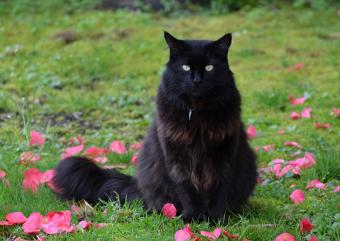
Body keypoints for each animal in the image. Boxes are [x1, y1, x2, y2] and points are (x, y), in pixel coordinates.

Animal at [53, 32, 256, 222]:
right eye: (185, 67)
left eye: (209, 67)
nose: (197, 80)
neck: (197, 114)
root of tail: (137, 184)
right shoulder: (176, 160)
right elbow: (187, 192)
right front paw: (193, 219)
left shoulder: (224, 157)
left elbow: (218, 193)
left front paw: (215, 220)